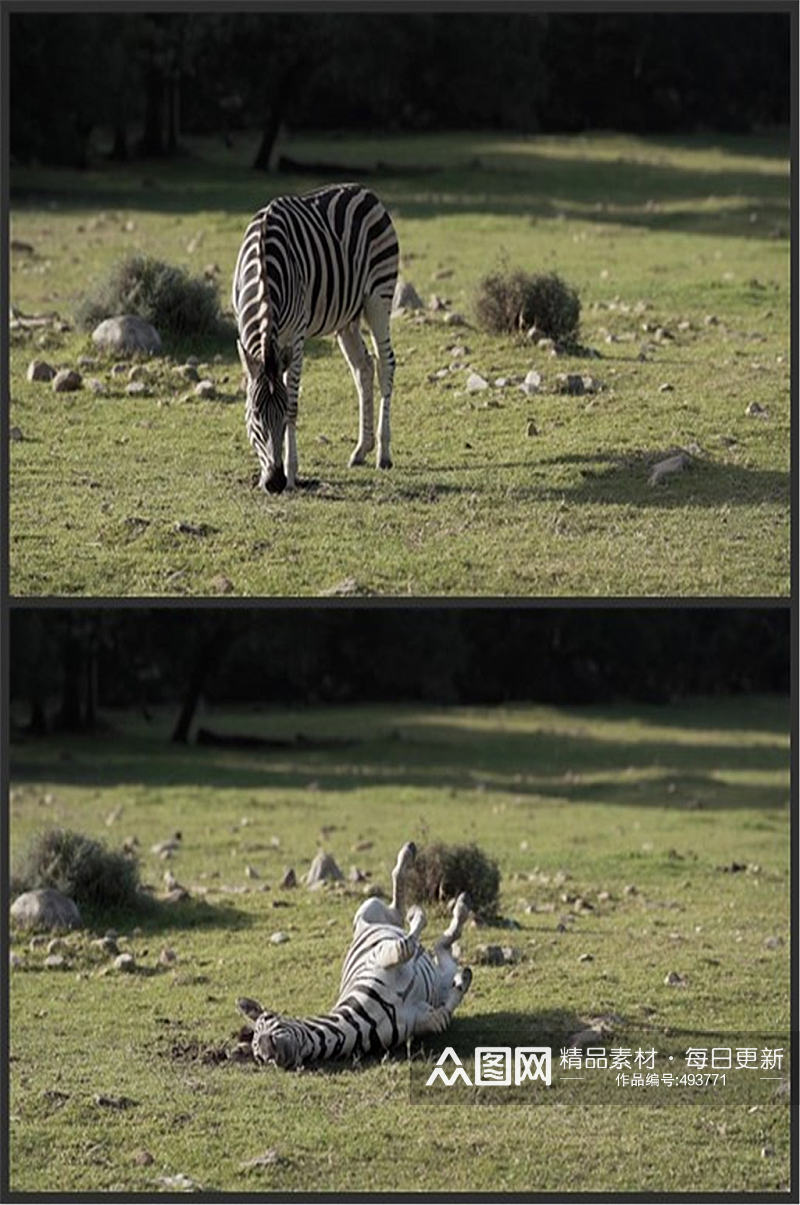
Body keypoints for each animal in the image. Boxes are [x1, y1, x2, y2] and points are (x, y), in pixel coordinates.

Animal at [231, 183, 400, 494]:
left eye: (281, 415)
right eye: (255, 414)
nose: (274, 482)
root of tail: (366, 191)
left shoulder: (296, 337)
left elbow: (294, 403)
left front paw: (292, 473)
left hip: (378, 297)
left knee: (386, 365)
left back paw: (383, 453)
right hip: (346, 319)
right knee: (364, 367)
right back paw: (361, 449)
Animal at [237, 843, 474, 1070]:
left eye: (269, 1022)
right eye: (260, 1057)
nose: (272, 1055)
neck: (360, 1025)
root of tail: (361, 927)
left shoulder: (379, 957)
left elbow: (404, 947)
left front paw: (417, 918)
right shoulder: (423, 1019)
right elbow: (443, 1016)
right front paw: (461, 981)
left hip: (368, 908)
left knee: (398, 906)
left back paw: (412, 861)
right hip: (439, 975)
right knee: (442, 948)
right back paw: (459, 925)